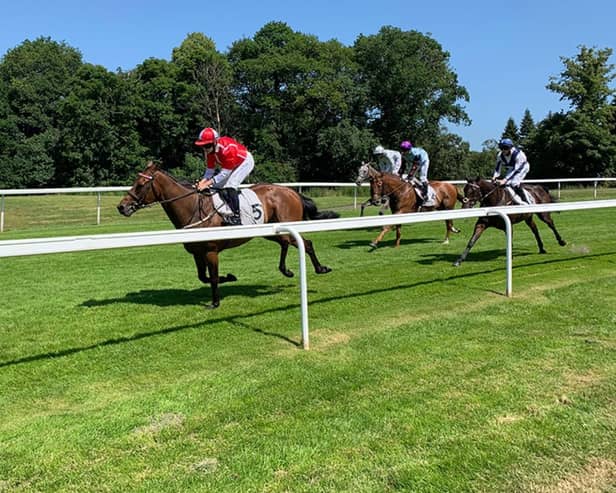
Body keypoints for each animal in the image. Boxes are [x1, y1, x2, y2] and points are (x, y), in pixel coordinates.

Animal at [118, 161, 340, 308]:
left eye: (140, 184)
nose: (122, 207)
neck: (192, 207)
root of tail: (291, 191)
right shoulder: (197, 253)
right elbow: (204, 277)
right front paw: (230, 277)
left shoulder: (211, 251)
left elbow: (214, 277)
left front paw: (215, 302)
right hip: (269, 230)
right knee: (285, 243)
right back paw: (286, 270)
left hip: (286, 224)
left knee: (306, 243)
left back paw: (321, 268)